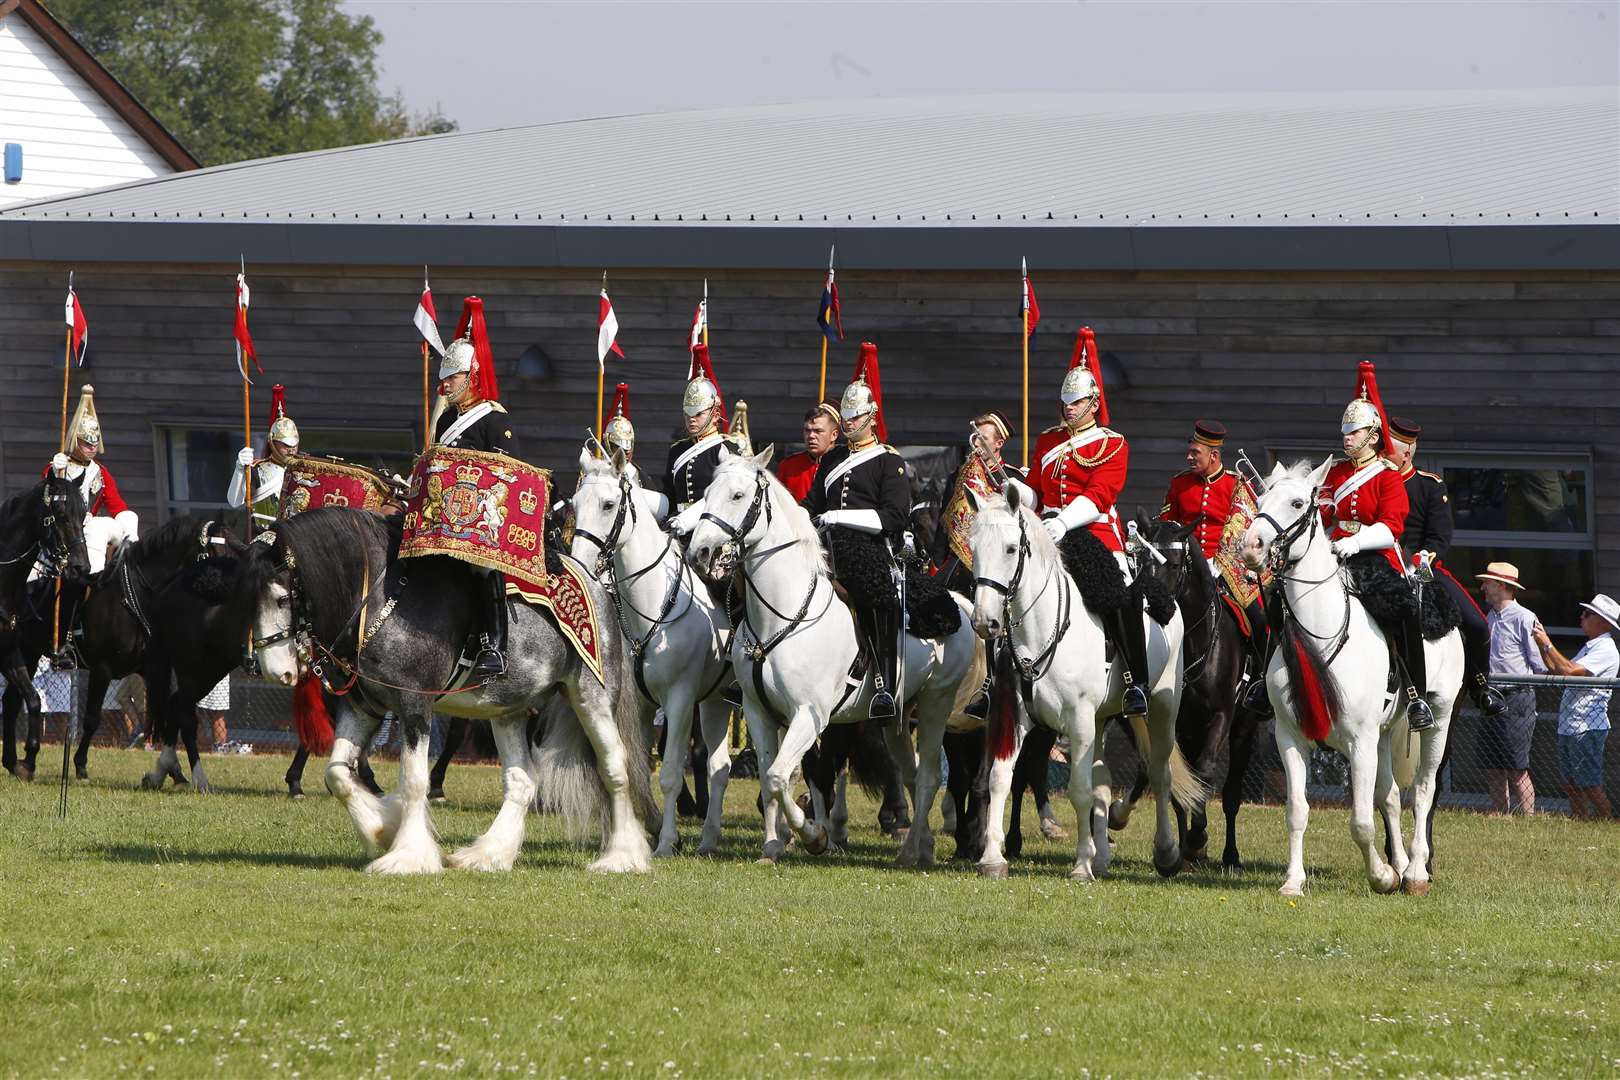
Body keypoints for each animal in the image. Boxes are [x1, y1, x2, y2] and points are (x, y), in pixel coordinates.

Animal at [570, 446, 735, 854]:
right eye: (576, 504)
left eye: (609, 504)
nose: (579, 564)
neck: (655, 603)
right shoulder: (643, 705)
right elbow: (638, 768)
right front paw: (645, 829)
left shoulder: (679, 701)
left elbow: (671, 772)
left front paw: (666, 841)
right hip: (717, 700)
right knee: (720, 767)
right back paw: (709, 839)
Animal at [680, 446, 972, 867]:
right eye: (707, 493)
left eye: (738, 495)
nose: (700, 552)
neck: (782, 615)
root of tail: (959, 605)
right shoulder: (759, 712)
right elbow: (771, 777)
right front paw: (772, 846)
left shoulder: (810, 716)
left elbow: (780, 776)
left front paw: (813, 835)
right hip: (896, 719)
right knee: (913, 774)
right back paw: (921, 846)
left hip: (936, 705)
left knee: (930, 776)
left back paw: (908, 851)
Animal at [959, 485, 1205, 880]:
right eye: (973, 545)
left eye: (1011, 548)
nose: (985, 621)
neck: (1042, 630)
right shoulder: (1013, 716)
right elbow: (1000, 777)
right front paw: (993, 857)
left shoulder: (1078, 720)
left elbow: (1079, 789)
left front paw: (1081, 864)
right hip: (1103, 719)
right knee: (1104, 782)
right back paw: (1103, 855)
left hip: (1163, 708)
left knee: (1159, 772)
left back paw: (1166, 852)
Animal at [1244, 459, 1464, 900]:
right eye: (1260, 500)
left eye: (1297, 503)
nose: (1250, 547)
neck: (1320, 631)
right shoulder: (1291, 738)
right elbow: (1297, 811)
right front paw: (1293, 881)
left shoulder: (1359, 742)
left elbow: (1361, 821)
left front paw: (1381, 877)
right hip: (1384, 733)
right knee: (1392, 796)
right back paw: (1401, 864)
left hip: (1440, 719)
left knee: (1423, 791)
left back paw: (1415, 873)